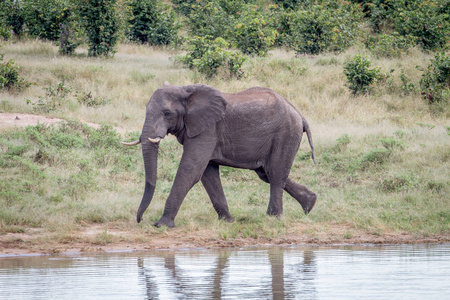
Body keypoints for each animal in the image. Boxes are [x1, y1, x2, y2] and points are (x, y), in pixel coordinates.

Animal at [121, 82, 314, 227]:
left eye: (167, 113)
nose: (139, 220)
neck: (185, 90)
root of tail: (300, 115)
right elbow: (208, 174)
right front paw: (227, 222)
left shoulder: (208, 129)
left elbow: (190, 170)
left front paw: (161, 225)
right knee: (266, 173)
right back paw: (310, 204)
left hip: (286, 134)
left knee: (275, 174)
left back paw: (273, 218)